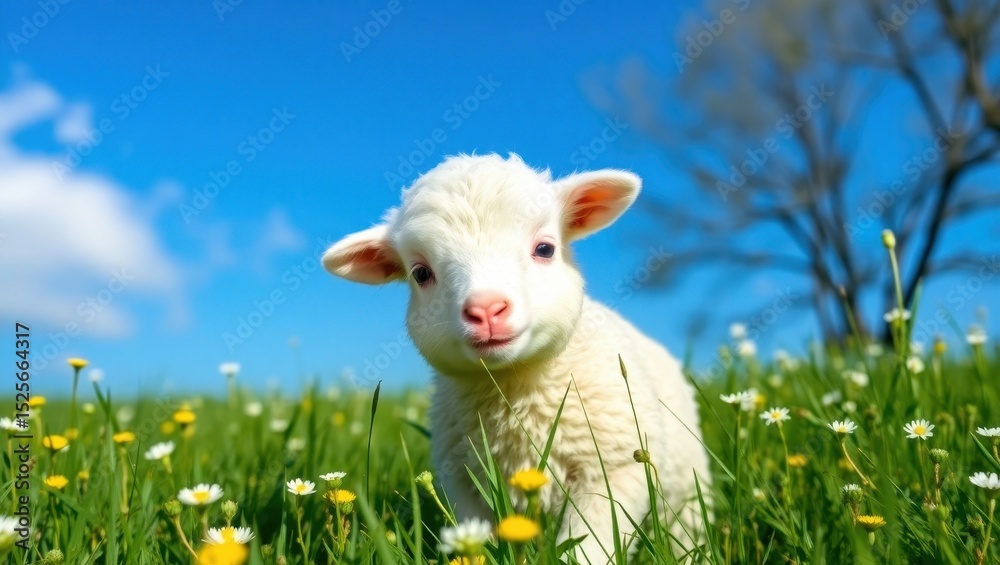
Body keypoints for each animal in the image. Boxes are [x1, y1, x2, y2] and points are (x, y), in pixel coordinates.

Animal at [322, 153, 710, 562]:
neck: (514, 389)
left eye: (545, 249)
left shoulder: (615, 468)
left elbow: (590, 545)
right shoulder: (461, 482)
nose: (486, 309)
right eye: (421, 273)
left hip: (688, 487)